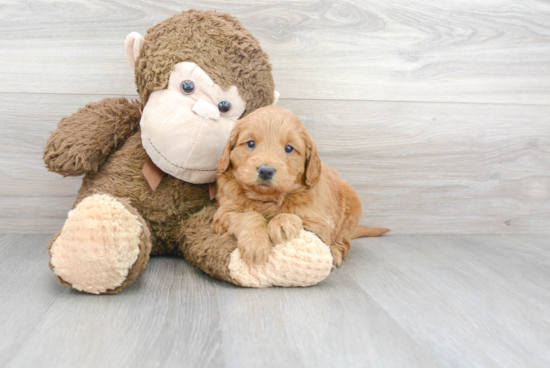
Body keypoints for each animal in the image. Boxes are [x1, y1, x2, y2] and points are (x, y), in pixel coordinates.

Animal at [213, 105, 390, 264]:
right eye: (250, 144)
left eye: (289, 148)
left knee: (344, 243)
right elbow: (248, 216)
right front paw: (255, 244)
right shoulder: (223, 214)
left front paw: (282, 223)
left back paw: (335, 253)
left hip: (351, 211)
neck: (267, 199)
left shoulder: (321, 224)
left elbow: (293, 216)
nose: (265, 171)